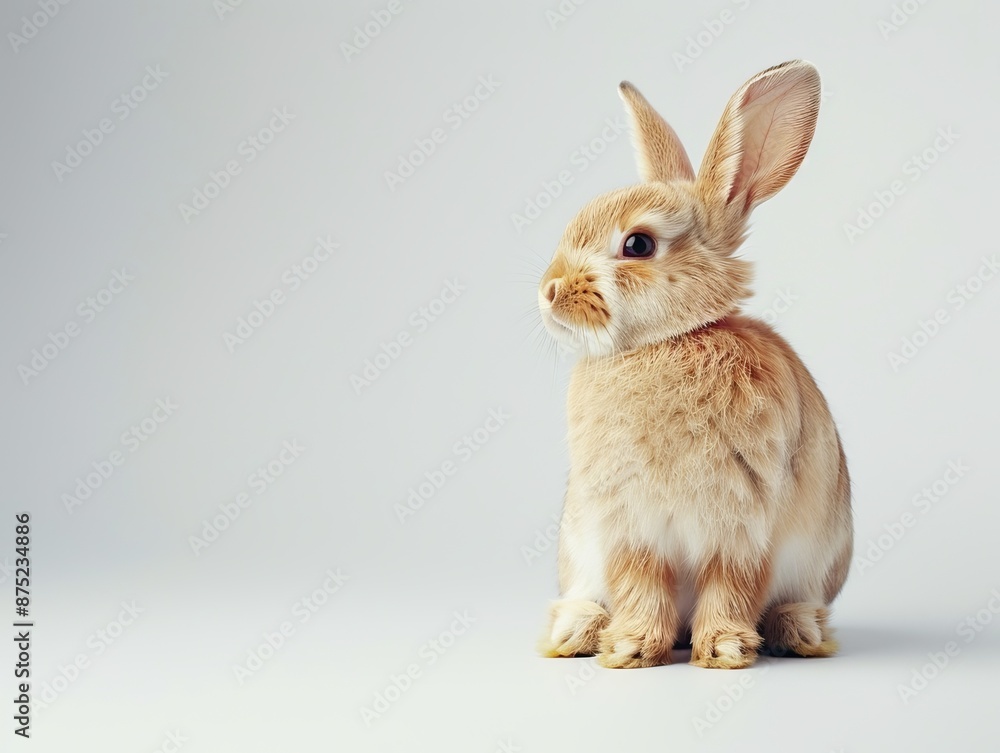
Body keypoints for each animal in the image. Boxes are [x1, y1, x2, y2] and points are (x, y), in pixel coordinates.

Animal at [536, 60, 852, 669]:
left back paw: (797, 632)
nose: (549, 292)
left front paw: (724, 649)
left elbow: (732, 585)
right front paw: (631, 648)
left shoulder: (744, 523)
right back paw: (577, 632)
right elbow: (641, 583)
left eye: (638, 244)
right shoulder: (629, 524)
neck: (669, 341)